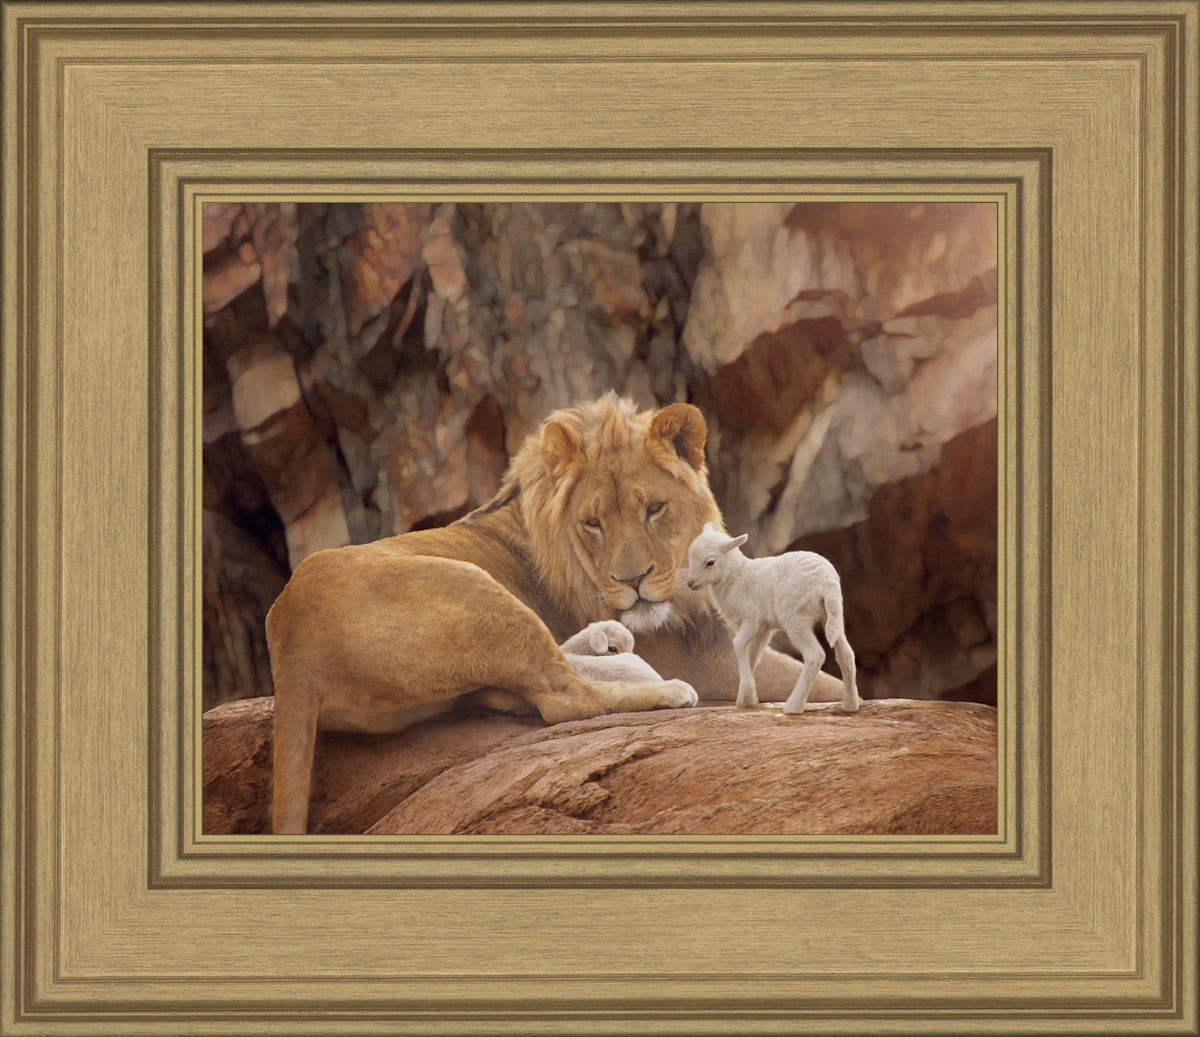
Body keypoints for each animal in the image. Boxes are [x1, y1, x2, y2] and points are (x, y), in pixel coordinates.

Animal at [685, 523, 860, 715]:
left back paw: (793, 706)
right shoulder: (764, 628)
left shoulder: (752, 619)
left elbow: (738, 644)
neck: (737, 577)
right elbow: (753, 655)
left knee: (815, 656)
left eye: (710, 562)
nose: (690, 583)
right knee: (846, 654)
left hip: (795, 617)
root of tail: (827, 583)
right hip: (833, 616)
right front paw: (747, 697)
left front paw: (746, 695)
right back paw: (850, 705)